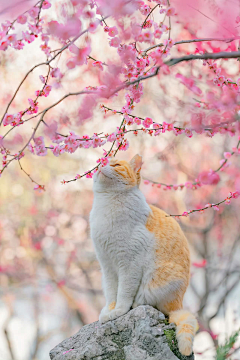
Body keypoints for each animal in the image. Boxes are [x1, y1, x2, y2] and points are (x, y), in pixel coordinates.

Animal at [89, 153, 198, 356]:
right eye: (102, 161)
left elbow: (123, 292)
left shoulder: (129, 264)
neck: (107, 203)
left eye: (116, 165)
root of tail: (178, 304)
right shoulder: (107, 266)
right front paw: (109, 310)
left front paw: (119, 311)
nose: (100, 166)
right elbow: (111, 293)